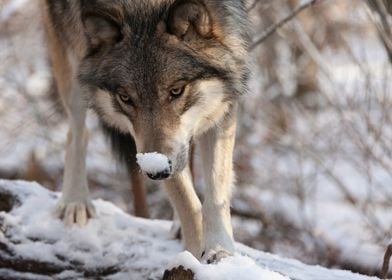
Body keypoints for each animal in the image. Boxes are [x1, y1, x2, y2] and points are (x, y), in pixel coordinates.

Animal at [40, 0, 248, 262]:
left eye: (176, 90)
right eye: (125, 98)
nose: (155, 171)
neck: (143, 7)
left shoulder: (222, 107)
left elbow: (215, 195)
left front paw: (220, 252)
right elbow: (187, 202)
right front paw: (195, 254)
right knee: (77, 132)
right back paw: (74, 201)